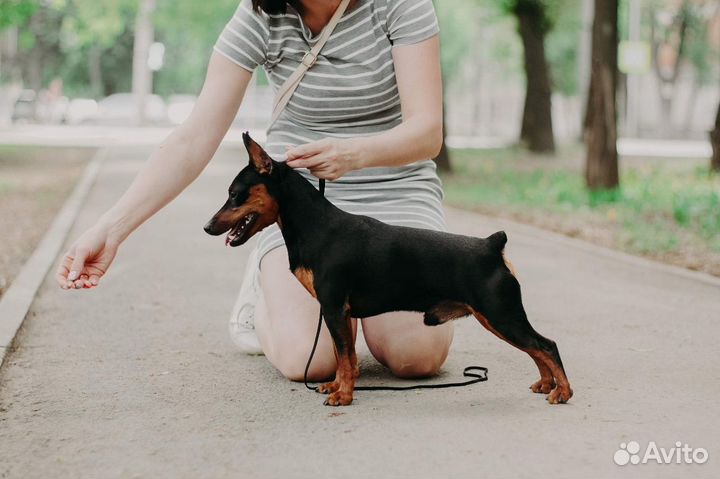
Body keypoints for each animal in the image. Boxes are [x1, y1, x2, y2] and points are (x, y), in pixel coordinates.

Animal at [204, 133, 572, 406]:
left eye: (235, 195)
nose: (207, 227)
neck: (315, 225)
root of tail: (493, 245)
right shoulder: (337, 313)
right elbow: (344, 356)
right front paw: (336, 386)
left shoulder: (334, 308)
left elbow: (345, 357)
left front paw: (343, 396)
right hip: (498, 316)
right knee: (536, 348)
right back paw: (545, 385)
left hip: (500, 314)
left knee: (546, 345)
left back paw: (563, 392)